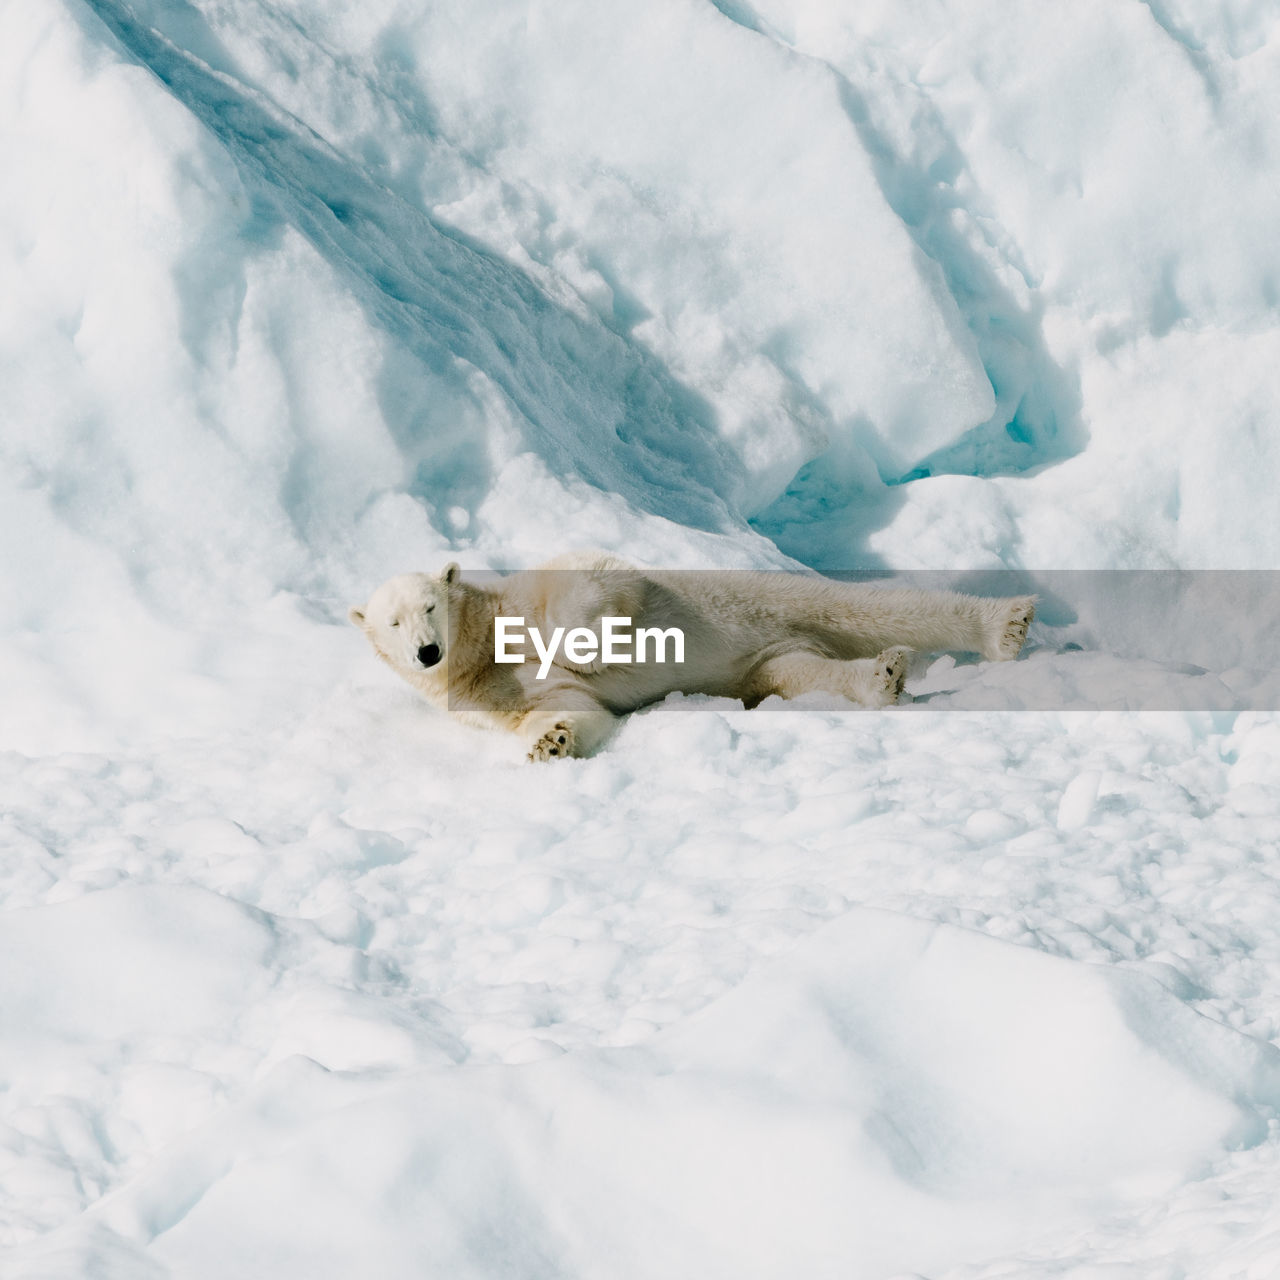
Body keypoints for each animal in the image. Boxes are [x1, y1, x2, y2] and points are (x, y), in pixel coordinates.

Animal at [348, 552, 1029, 757]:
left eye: (429, 606)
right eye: (392, 622)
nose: (427, 652)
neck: (482, 644)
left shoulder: (533, 591)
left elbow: (593, 580)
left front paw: (584, 650)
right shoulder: (486, 694)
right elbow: (569, 706)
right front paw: (549, 742)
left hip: (767, 598)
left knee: (873, 606)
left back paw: (1006, 623)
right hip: (767, 660)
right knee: (802, 671)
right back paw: (883, 676)